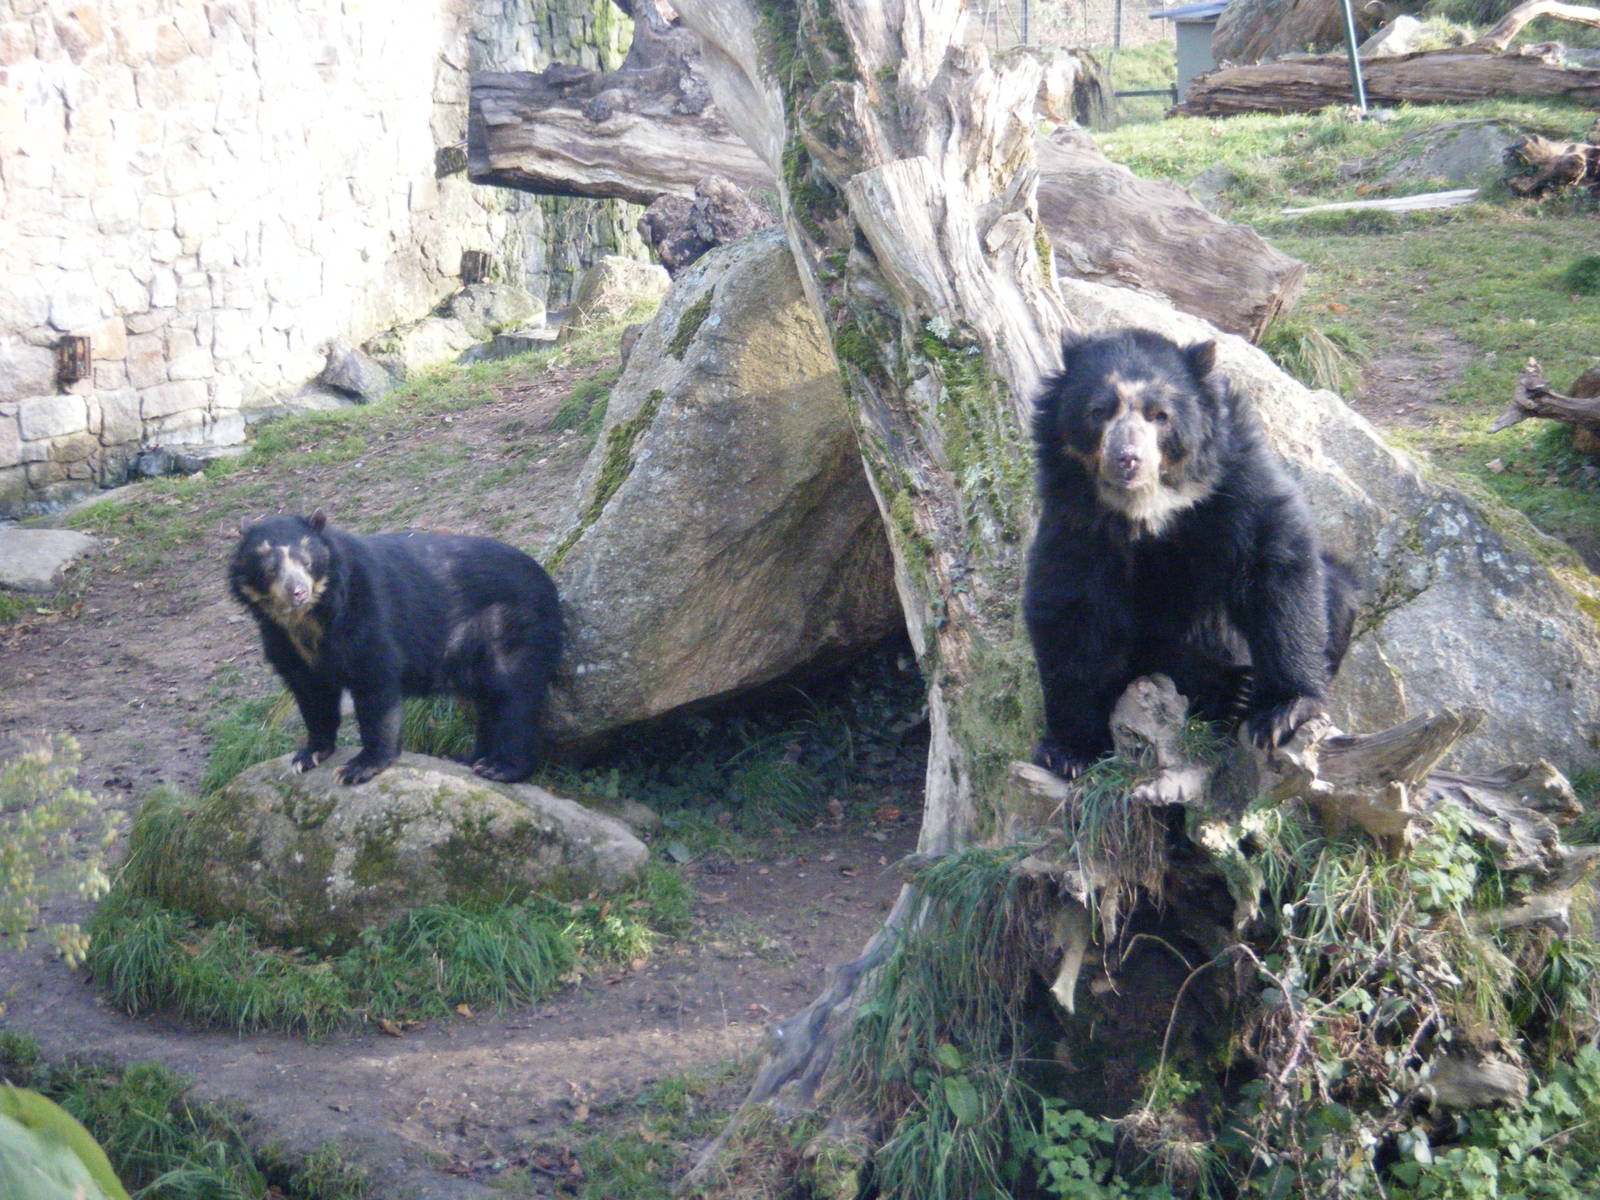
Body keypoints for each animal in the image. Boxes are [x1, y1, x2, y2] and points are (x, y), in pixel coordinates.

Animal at [229, 511, 562, 786]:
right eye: (270, 569)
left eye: (307, 562)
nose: (297, 591)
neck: (309, 618)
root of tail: (546, 578)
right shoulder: (283, 642)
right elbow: (312, 696)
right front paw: (307, 756)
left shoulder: (365, 614)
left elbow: (375, 686)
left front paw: (358, 767)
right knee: (488, 701)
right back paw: (470, 757)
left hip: (510, 627)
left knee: (514, 695)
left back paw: (499, 767)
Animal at [1023, 328, 1357, 780]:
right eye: (1098, 412)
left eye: (1159, 415)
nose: (1127, 460)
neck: (1149, 507)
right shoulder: (1075, 515)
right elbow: (1069, 607)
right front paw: (1068, 752)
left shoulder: (1234, 479)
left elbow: (1275, 565)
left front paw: (1283, 712)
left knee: (1335, 595)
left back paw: (1242, 693)